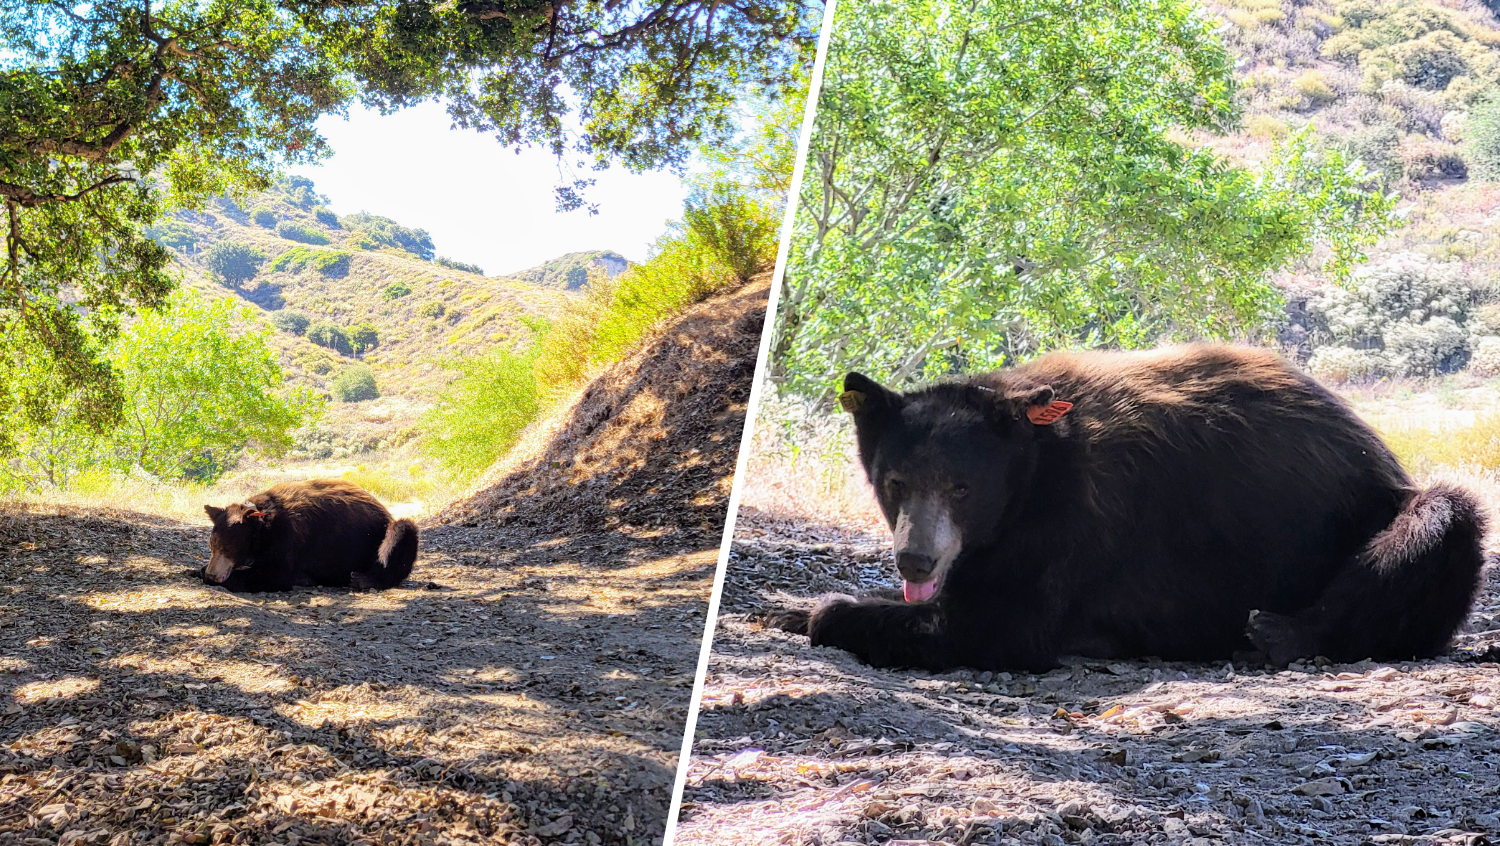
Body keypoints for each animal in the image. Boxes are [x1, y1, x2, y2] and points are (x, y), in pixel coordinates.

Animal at [202, 480, 420, 591]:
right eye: (212, 546)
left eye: (228, 547)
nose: (212, 574)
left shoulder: (287, 538)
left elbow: (274, 575)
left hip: (382, 536)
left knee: (401, 532)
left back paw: (365, 579)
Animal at [774, 345, 1488, 675]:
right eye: (895, 481)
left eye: (961, 487)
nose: (915, 558)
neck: (1033, 465)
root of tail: (1382, 454)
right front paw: (786, 605)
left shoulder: (1074, 522)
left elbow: (997, 626)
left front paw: (831, 611)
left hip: (1372, 517)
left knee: (1441, 520)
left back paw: (1283, 631)